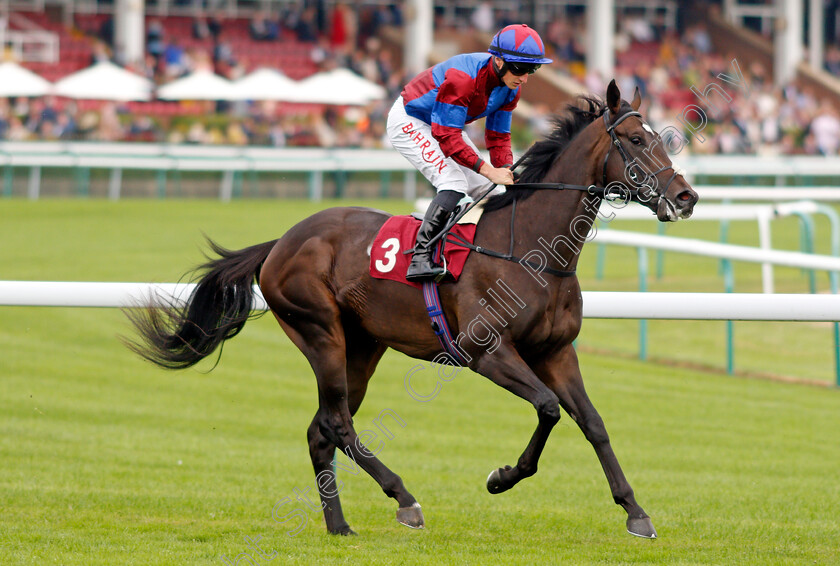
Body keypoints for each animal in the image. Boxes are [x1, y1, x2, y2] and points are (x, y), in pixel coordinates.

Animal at [124, 81, 700, 540]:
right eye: (635, 141)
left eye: (660, 139)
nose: (686, 197)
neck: (530, 250)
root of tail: (281, 242)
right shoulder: (485, 351)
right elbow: (548, 408)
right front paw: (502, 478)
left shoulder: (557, 351)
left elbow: (593, 423)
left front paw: (635, 511)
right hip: (320, 331)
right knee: (338, 424)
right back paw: (404, 498)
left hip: (361, 347)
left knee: (320, 430)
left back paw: (339, 525)